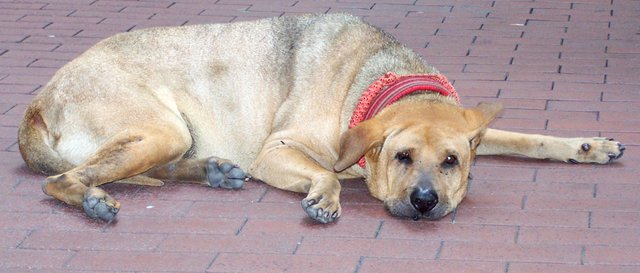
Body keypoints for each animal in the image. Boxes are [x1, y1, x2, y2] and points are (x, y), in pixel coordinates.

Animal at [17, 13, 624, 222]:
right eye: (403, 157)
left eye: (452, 161)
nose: (425, 203)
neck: (379, 79)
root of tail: (36, 102)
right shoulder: (278, 150)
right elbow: (327, 173)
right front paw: (325, 197)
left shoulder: (475, 126)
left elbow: (523, 136)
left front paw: (586, 145)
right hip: (159, 130)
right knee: (61, 180)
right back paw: (93, 201)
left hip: (169, 136)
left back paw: (215, 170)